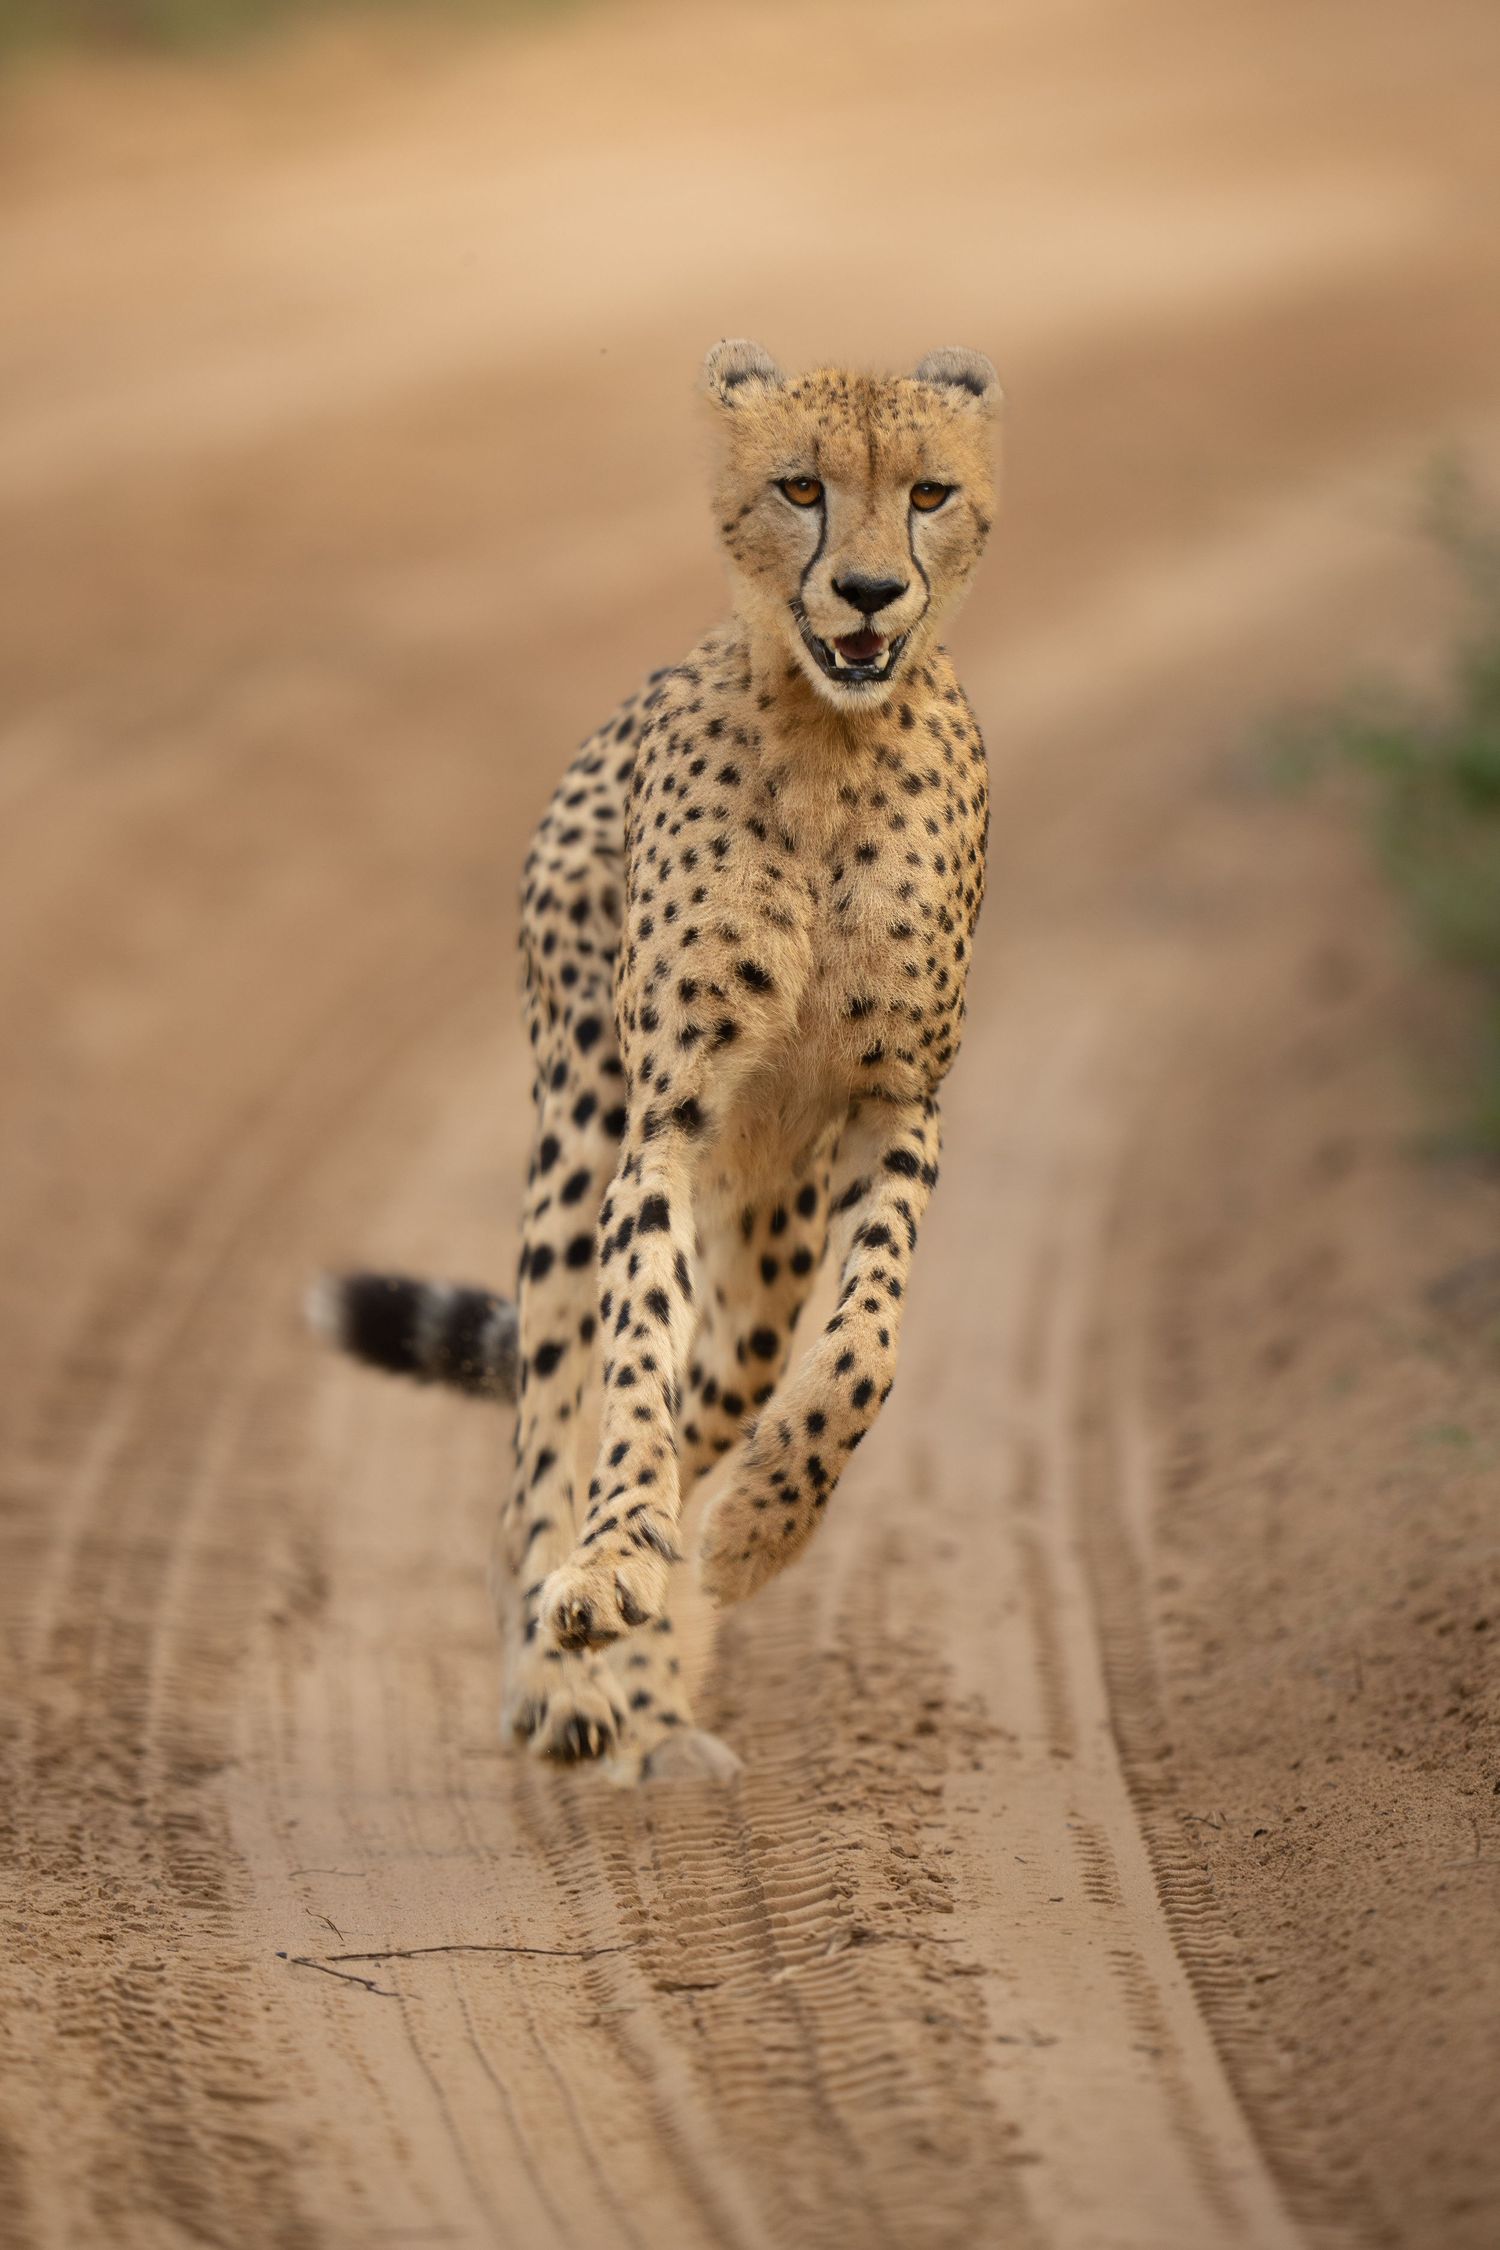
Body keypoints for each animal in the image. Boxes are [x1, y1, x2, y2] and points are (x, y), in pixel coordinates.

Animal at [309, 339, 998, 1780]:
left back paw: (660, 1691)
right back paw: (561, 1672)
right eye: (800, 486)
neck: (833, 743)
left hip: (772, 1247)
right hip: (576, 1146)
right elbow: (626, 1377)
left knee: (720, 1387)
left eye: (930, 492)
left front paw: (757, 1530)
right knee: (540, 1446)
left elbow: (863, 1351)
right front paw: (607, 1573)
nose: (866, 592)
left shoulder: (897, 1107)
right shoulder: (666, 1128)